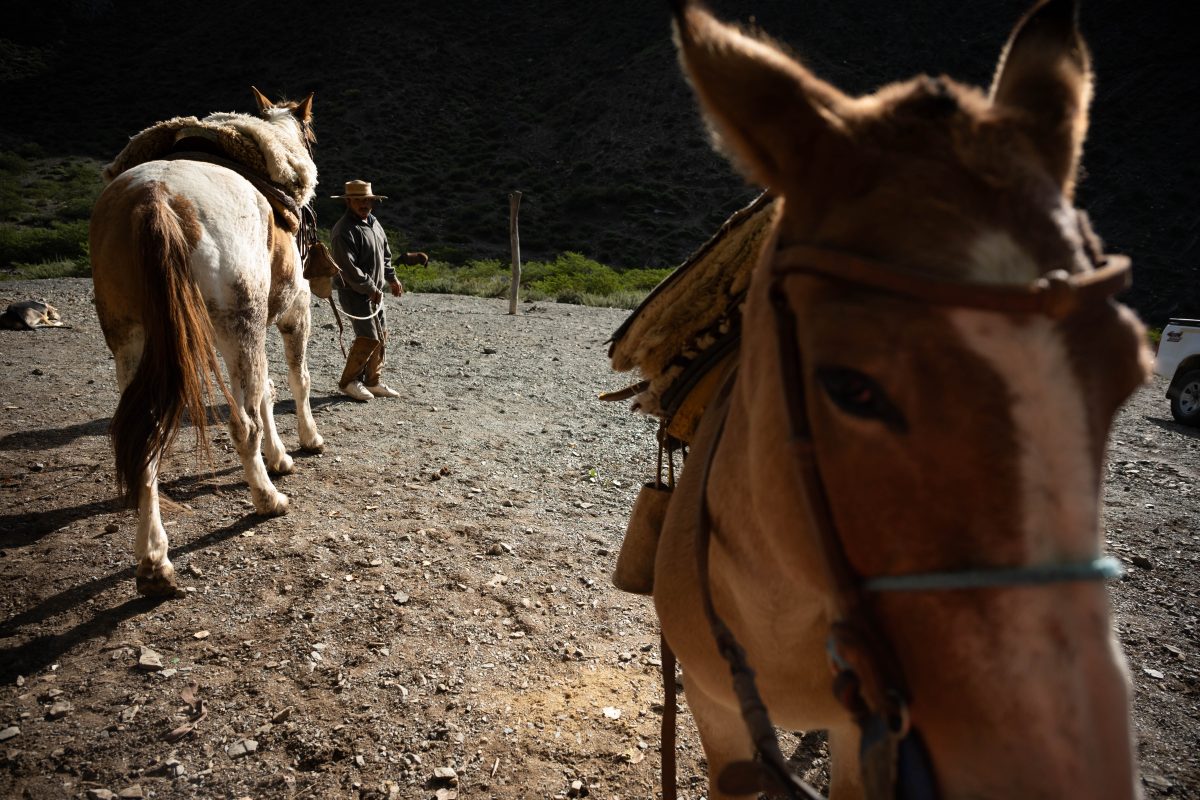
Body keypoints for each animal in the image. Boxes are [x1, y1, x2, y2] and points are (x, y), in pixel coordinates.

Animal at [90, 87, 325, 597]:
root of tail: (156, 198)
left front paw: (280, 455)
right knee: (244, 424)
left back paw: (154, 562)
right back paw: (268, 499)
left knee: (144, 445)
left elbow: (265, 392)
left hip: (133, 341)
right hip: (239, 323)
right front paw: (302, 444)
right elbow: (292, 383)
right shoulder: (291, 310)